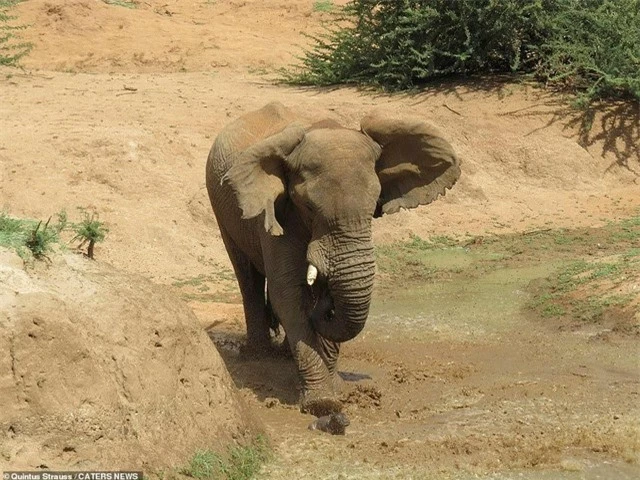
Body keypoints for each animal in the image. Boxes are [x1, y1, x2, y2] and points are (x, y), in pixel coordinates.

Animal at [205, 102, 460, 416]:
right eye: (308, 206)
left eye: (375, 204)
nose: (325, 307)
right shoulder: (279, 213)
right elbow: (287, 293)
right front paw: (322, 404)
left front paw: (337, 388)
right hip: (221, 204)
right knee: (247, 276)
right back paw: (259, 354)